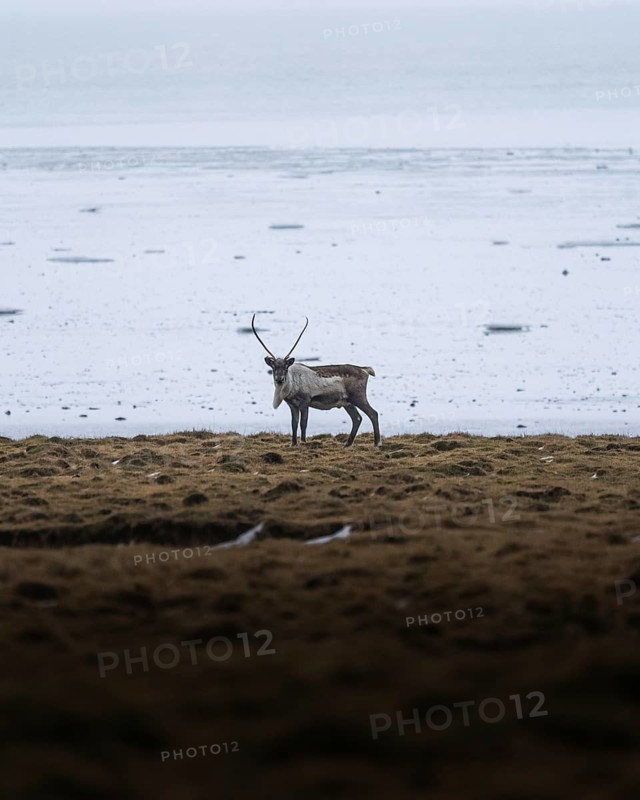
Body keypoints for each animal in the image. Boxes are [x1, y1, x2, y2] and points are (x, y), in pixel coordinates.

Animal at [251, 314, 381, 447]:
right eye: (273, 367)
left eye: (286, 367)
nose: (279, 379)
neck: (292, 385)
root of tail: (365, 370)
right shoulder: (292, 405)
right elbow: (293, 424)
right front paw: (293, 444)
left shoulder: (305, 401)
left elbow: (303, 423)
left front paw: (303, 441)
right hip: (347, 402)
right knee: (357, 418)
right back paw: (347, 444)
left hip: (358, 397)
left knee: (373, 413)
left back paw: (377, 443)